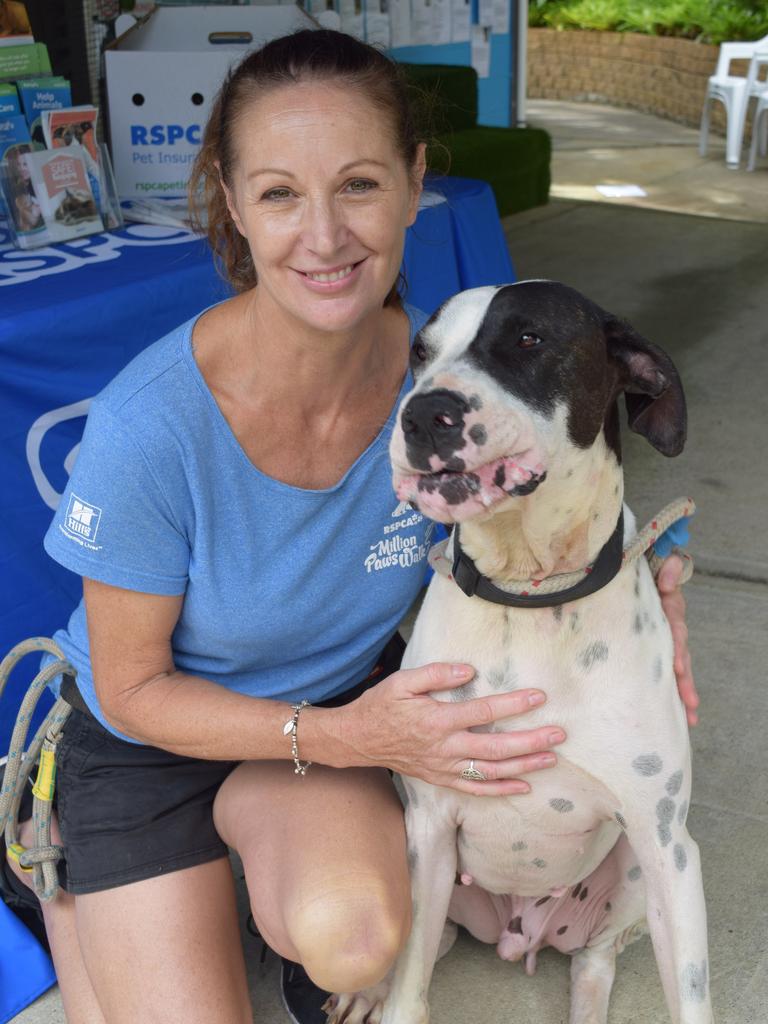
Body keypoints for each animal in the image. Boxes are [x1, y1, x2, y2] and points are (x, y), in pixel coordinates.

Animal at [327, 280, 712, 1024]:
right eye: (420, 352)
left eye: (530, 339)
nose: (423, 416)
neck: (530, 594)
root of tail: (518, 929)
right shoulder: (429, 824)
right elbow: (411, 993)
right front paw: (386, 993)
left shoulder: (666, 841)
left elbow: (690, 998)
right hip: (438, 879)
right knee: (432, 945)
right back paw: (367, 988)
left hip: (638, 868)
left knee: (593, 960)